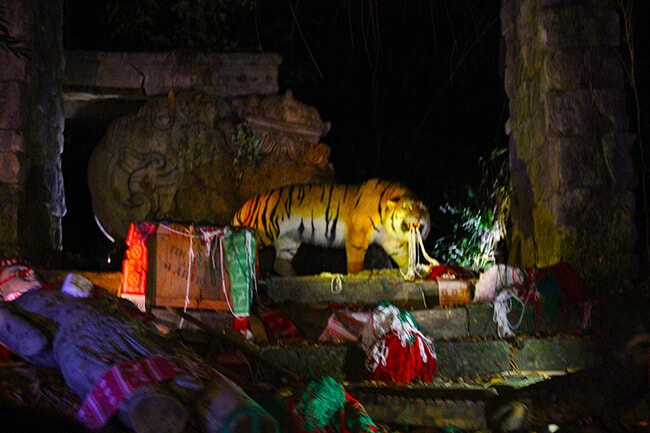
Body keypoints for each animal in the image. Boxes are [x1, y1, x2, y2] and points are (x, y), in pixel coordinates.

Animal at [230, 178, 428, 274]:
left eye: (423, 208)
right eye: (407, 207)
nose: (420, 217)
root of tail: (245, 204)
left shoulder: (393, 244)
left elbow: (404, 257)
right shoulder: (357, 236)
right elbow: (355, 262)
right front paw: (357, 275)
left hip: (288, 240)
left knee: (279, 264)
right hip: (264, 231)